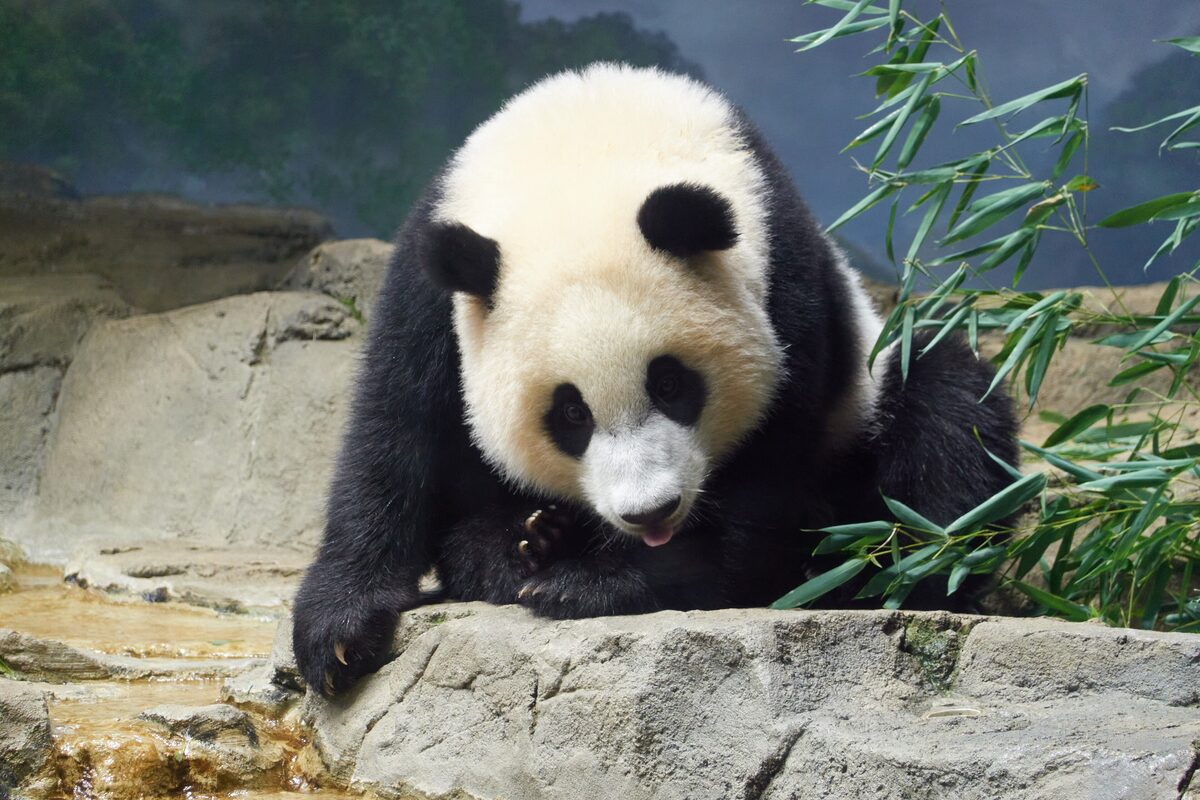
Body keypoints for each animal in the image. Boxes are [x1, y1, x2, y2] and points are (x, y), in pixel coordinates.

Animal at [293, 63, 1018, 694]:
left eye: (671, 385)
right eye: (570, 414)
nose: (650, 513)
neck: (581, 152)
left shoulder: (785, 279)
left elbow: (764, 475)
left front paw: (597, 583)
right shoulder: (433, 289)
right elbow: (394, 431)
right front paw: (339, 634)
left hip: (875, 393)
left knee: (947, 430)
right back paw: (522, 542)